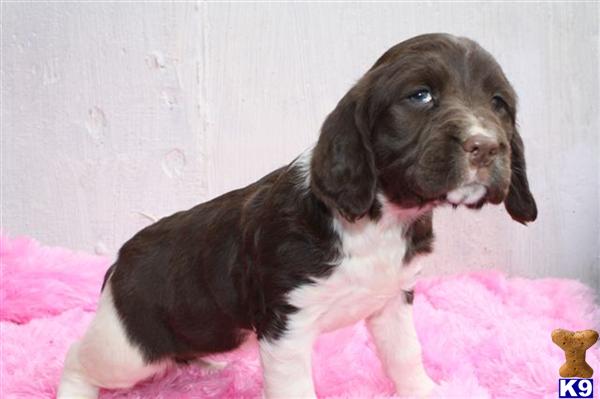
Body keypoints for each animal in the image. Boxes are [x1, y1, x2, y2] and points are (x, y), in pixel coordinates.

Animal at [57, 32, 536, 398]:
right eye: (420, 96)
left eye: (499, 103)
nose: (486, 146)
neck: (378, 221)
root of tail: (120, 261)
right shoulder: (286, 327)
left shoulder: (391, 302)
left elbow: (405, 356)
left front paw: (425, 391)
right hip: (130, 347)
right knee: (77, 358)